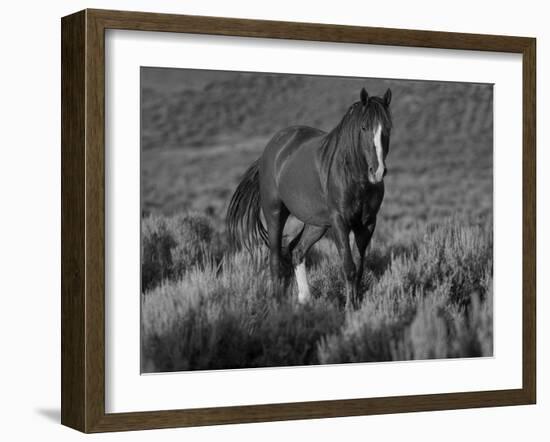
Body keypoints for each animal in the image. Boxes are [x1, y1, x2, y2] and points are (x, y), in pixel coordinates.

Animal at [227, 86, 392, 308]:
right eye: (364, 127)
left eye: (387, 128)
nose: (377, 171)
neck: (354, 176)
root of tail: (270, 149)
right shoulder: (340, 222)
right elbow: (348, 267)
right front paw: (349, 307)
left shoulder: (367, 224)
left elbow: (358, 267)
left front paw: (356, 304)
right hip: (275, 213)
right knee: (276, 258)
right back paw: (278, 303)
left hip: (316, 224)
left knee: (297, 251)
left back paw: (304, 299)